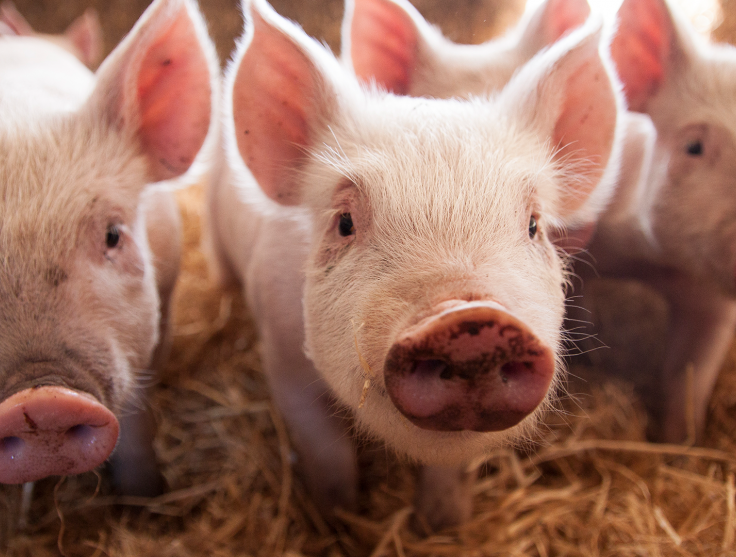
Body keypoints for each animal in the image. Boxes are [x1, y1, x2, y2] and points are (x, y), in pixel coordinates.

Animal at [205, 0, 623, 530]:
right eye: (344, 223)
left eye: (533, 225)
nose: (470, 319)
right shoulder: (281, 355)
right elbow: (326, 454)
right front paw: (339, 521)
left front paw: (443, 526)